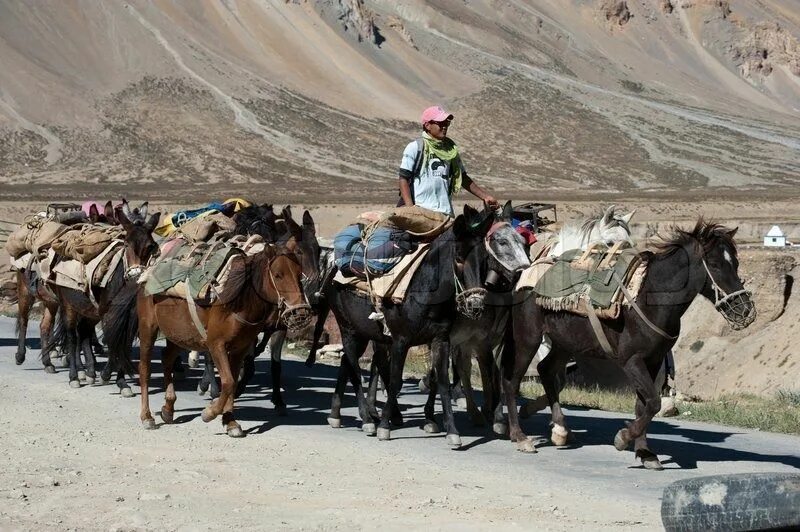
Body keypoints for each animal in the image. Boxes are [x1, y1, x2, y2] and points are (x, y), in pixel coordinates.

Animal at [105, 245, 316, 436]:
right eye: (278, 275)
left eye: (299, 275)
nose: (301, 312)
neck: (237, 301)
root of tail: (143, 278)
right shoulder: (216, 345)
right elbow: (228, 382)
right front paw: (210, 413)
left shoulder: (239, 349)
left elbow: (232, 382)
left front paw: (231, 423)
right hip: (148, 328)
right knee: (145, 369)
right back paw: (147, 417)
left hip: (178, 335)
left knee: (167, 358)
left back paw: (168, 408)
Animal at [318, 206, 532, 446]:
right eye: (458, 256)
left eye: (485, 258)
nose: (475, 304)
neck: (424, 290)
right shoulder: (401, 341)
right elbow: (395, 380)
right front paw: (385, 427)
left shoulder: (444, 340)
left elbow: (443, 380)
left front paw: (452, 431)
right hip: (348, 329)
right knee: (355, 368)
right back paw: (368, 419)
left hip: (364, 333)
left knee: (349, 362)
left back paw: (338, 414)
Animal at [500, 220, 756, 466]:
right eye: (714, 264)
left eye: (735, 263)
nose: (744, 310)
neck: (651, 298)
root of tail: (528, 272)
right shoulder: (631, 361)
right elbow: (653, 402)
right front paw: (623, 439)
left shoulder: (652, 361)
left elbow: (643, 406)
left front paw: (645, 453)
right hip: (528, 339)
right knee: (512, 382)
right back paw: (520, 436)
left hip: (564, 344)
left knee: (545, 370)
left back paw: (561, 430)